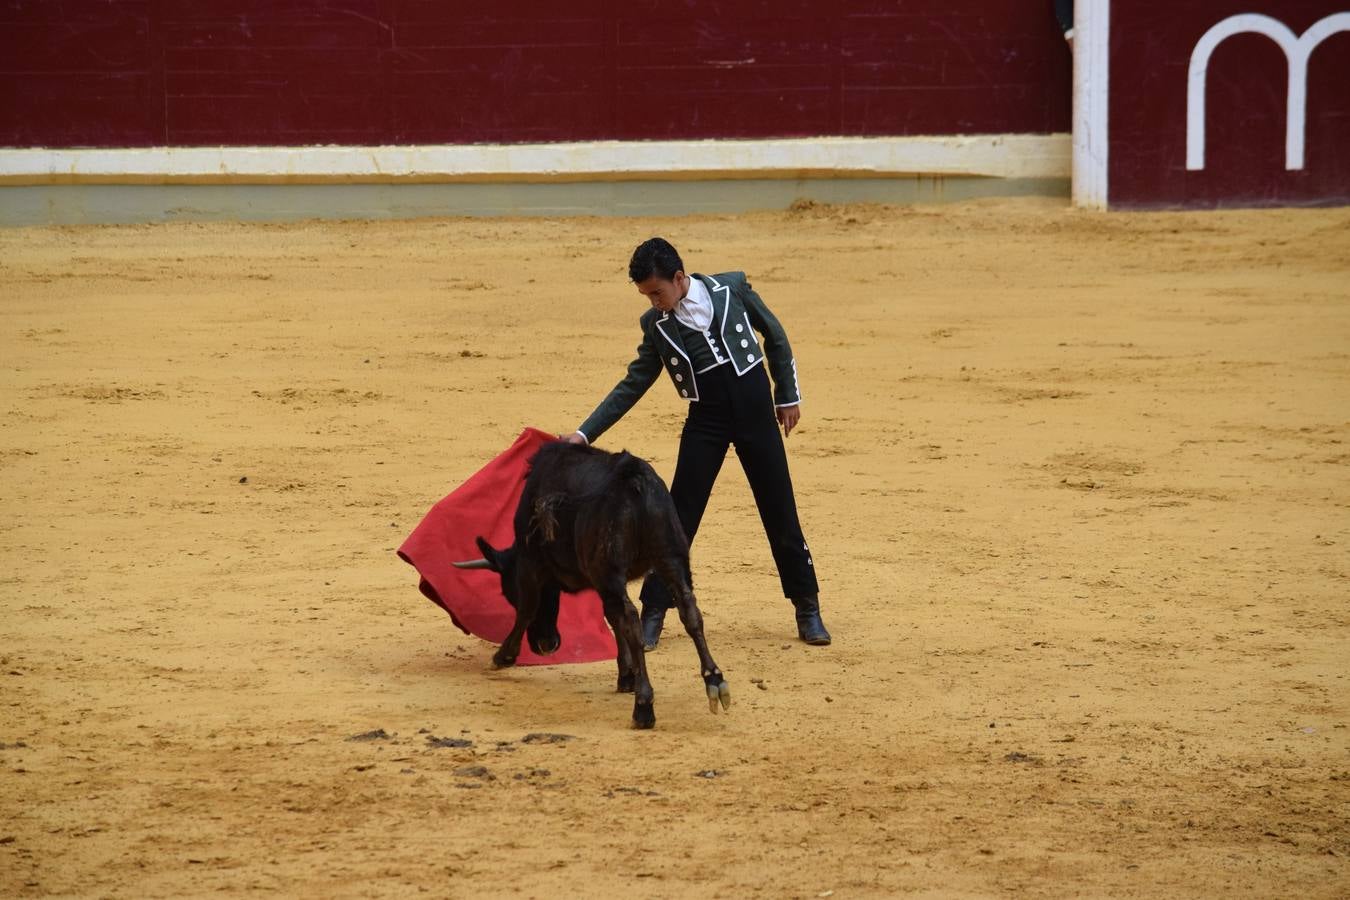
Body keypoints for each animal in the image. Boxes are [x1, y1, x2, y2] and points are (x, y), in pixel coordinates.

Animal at [450, 442, 729, 734]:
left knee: (631, 619)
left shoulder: (530, 564)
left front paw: (502, 657)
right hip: (670, 557)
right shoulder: (603, 580)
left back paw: (643, 707)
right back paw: (714, 681)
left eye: (508, 594)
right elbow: (611, 618)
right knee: (688, 609)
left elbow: (527, 609)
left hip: (612, 570)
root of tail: (634, 478)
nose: (546, 646)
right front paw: (626, 676)